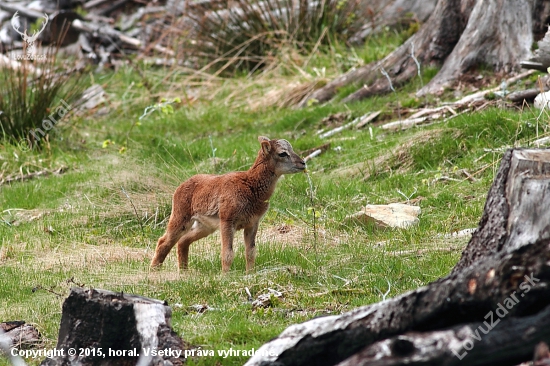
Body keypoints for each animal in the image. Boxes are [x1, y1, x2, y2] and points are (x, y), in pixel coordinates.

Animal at [151, 137, 306, 272]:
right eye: (282, 153)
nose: (303, 163)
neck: (251, 186)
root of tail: (180, 187)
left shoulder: (252, 223)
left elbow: (250, 252)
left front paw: (249, 274)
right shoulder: (227, 221)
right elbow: (227, 254)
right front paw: (225, 276)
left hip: (205, 226)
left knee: (183, 241)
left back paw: (183, 272)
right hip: (180, 218)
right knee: (163, 242)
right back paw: (154, 271)